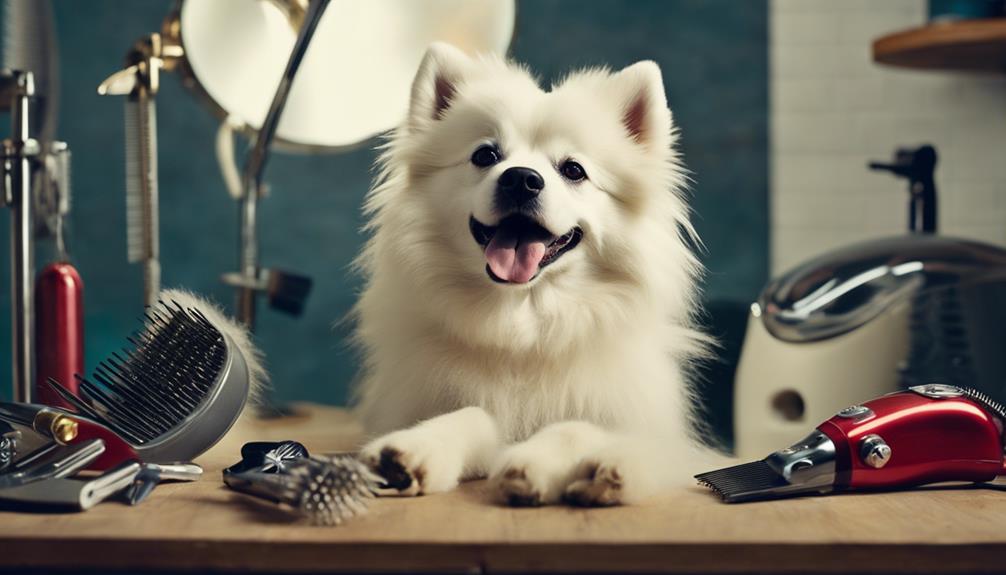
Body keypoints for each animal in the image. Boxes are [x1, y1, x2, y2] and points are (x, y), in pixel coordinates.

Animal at [354, 42, 716, 504]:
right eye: (485, 156)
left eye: (573, 170)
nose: (521, 179)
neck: (525, 326)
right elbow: (470, 414)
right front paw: (416, 450)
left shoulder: (669, 443)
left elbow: (575, 427)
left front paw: (551, 463)